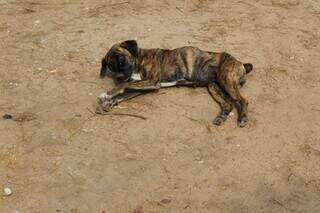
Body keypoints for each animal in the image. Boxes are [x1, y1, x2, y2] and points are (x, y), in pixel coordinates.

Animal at [97, 39, 252, 126]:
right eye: (110, 66)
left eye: (121, 60)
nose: (118, 77)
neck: (139, 59)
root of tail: (240, 62)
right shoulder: (145, 86)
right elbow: (125, 93)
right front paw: (109, 101)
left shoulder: (152, 81)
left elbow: (125, 85)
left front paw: (107, 94)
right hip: (214, 86)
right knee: (227, 104)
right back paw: (221, 118)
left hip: (227, 80)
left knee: (243, 100)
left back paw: (242, 119)